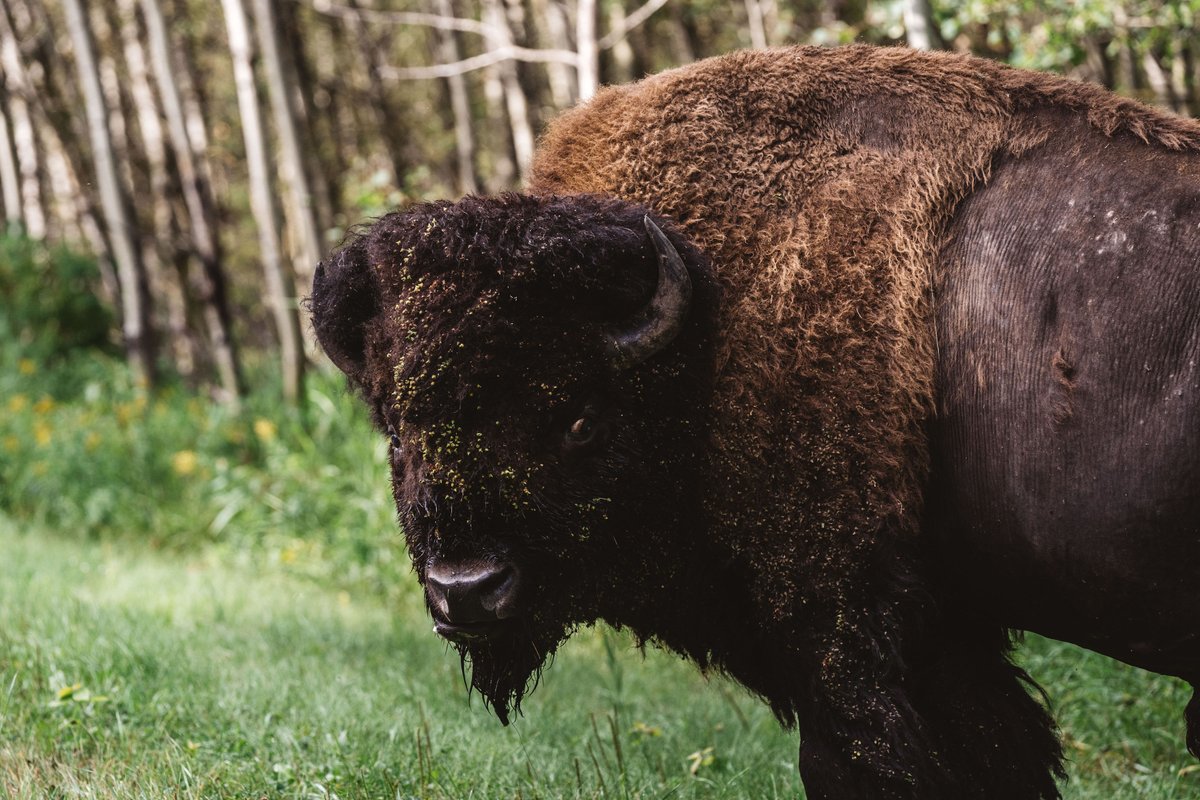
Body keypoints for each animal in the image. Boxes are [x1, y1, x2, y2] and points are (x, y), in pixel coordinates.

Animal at [312, 45, 1200, 800]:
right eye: (398, 435)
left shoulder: (842, 622)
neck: (705, 336)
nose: (467, 590)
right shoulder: (948, 631)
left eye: (578, 421)